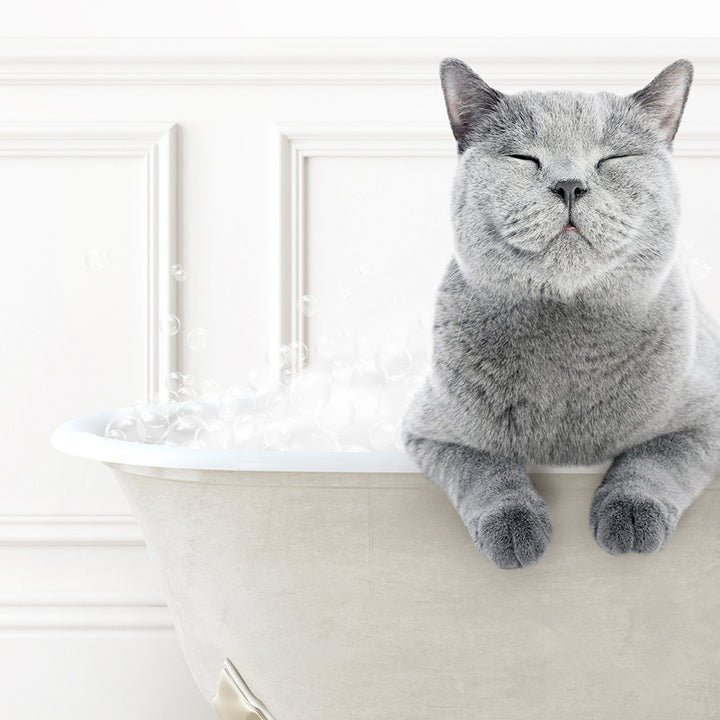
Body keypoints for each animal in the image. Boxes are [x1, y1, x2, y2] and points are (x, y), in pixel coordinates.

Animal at [400, 57, 720, 568]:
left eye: (612, 159)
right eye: (523, 158)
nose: (570, 185)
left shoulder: (706, 417)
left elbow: (655, 458)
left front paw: (631, 517)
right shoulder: (431, 431)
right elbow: (484, 468)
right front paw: (515, 528)